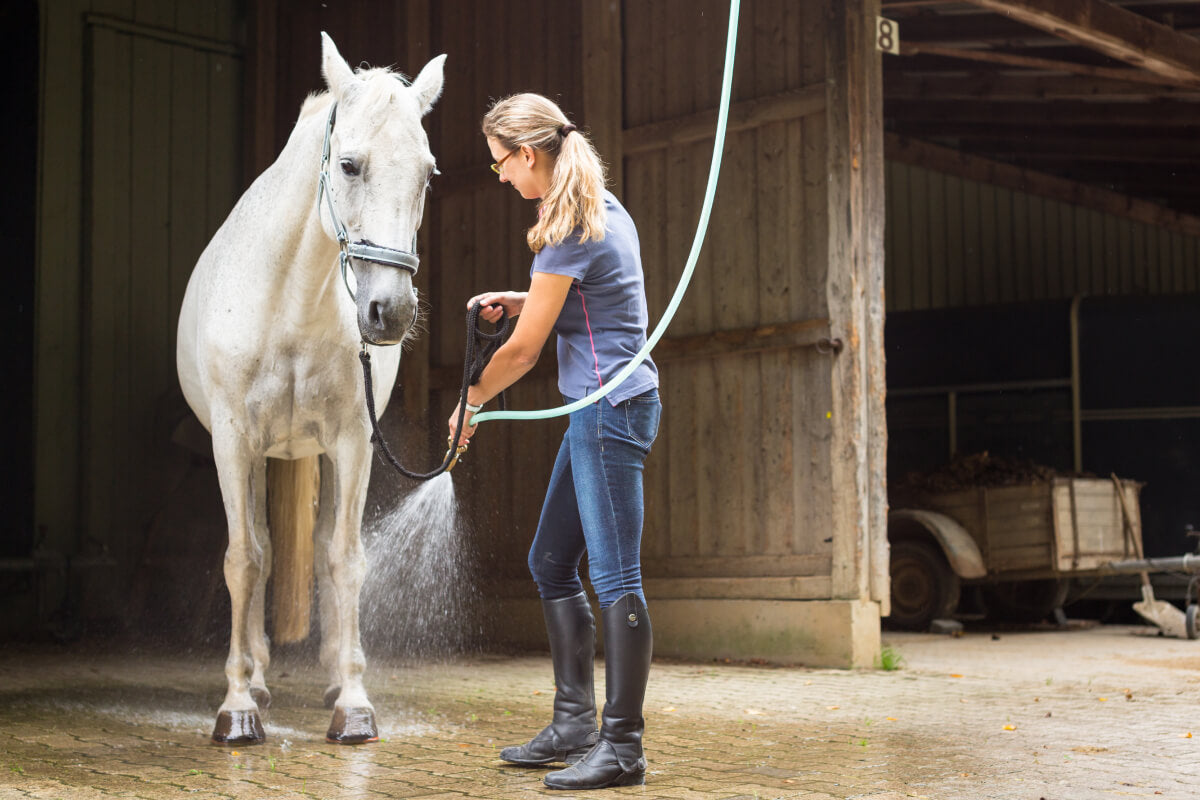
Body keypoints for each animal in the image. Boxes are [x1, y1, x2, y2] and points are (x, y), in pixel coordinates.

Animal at [175, 31, 444, 743]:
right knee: (262, 553)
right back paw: (260, 682)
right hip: (260, 457)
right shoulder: (235, 442)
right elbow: (244, 560)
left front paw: (353, 704)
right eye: (349, 166)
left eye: (428, 173)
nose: (389, 313)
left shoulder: (351, 442)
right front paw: (238, 707)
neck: (290, 302)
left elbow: (344, 559)